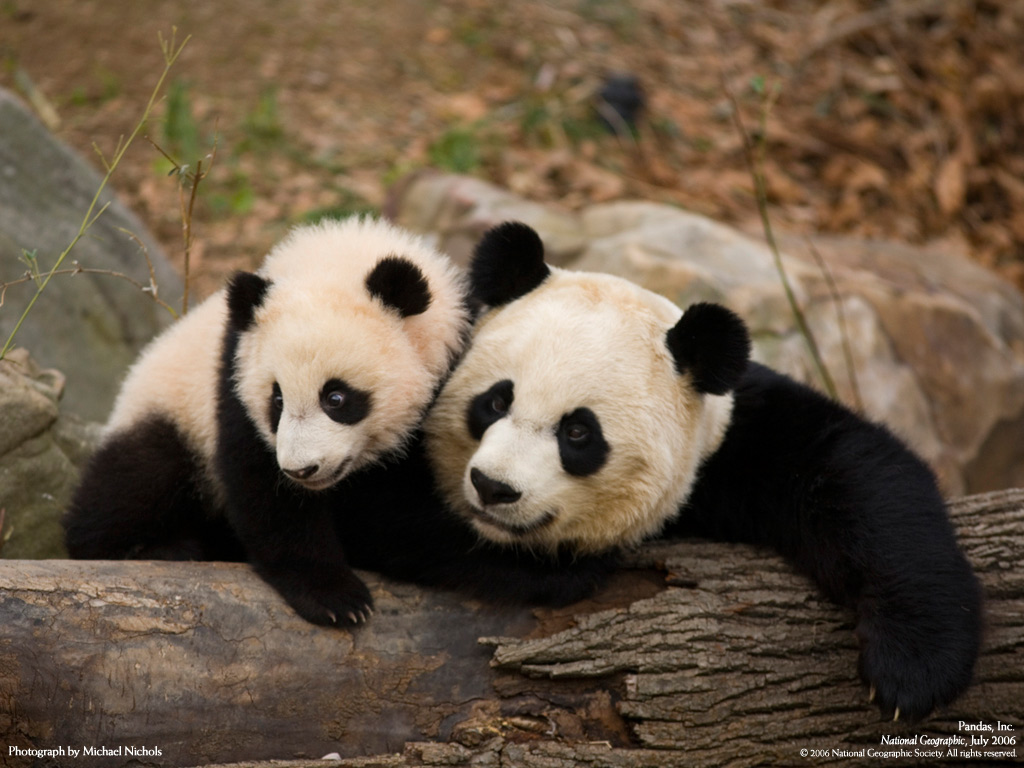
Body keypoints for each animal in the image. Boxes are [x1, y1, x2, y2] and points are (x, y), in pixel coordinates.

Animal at [64, 216, 469, 626]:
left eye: (336, 398)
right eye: (277, 400)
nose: (301, 470)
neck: (337, 257)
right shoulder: (234, 375)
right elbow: (264, 488)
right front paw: (335, 597)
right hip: (170, 412)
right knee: (136, 478)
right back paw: (160, 548)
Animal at [336, 221, 981, 722]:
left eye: (578, 433)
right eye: (495, 401)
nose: (494, 488)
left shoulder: (728, 447)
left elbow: (857, 472)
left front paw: (912, 669)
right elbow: (373, 505)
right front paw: (568, 567)